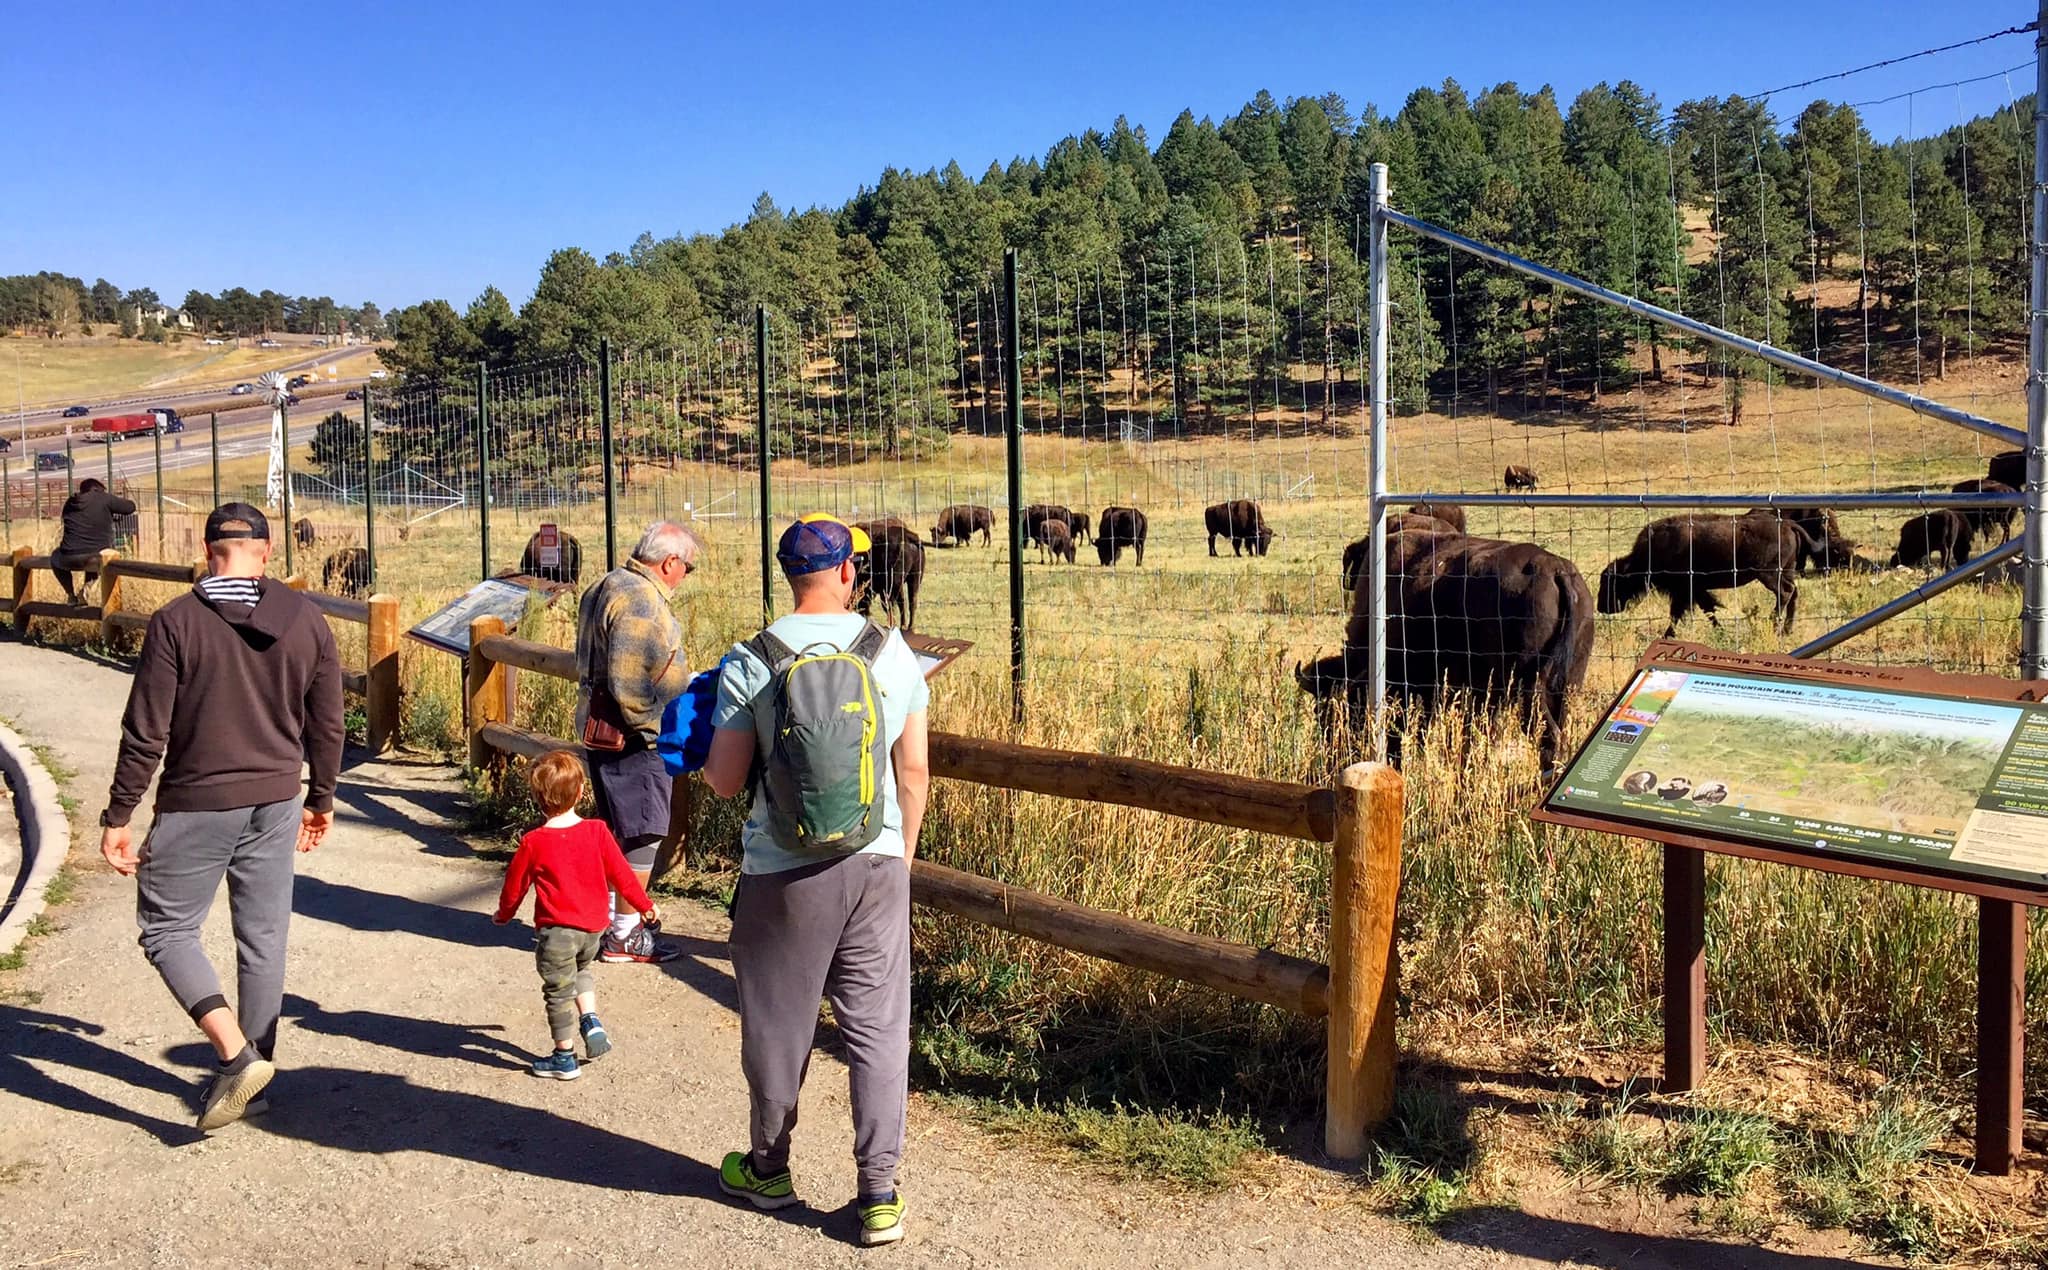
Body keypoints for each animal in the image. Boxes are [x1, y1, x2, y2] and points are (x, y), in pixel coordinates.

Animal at [1298, 521, 1595, 774]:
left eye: (1327, 712)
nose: (1332, 756)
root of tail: (1555, 569)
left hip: (1529, 689)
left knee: (1548, 737)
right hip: (1567, 684)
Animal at [1597, 514, 1825, 636]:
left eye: (1612, 582)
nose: (1602, 606)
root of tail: (1787, 524)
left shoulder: (1684, 590)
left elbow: (1679, 613)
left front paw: (1668, 635)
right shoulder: (1693, 590)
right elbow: (1707, 609)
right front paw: (1720, 631)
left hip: (1769, 575)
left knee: (1785, 592)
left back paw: (1773, 624)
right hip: (1786, 572)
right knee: (1793, 593)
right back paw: (1786, 630)